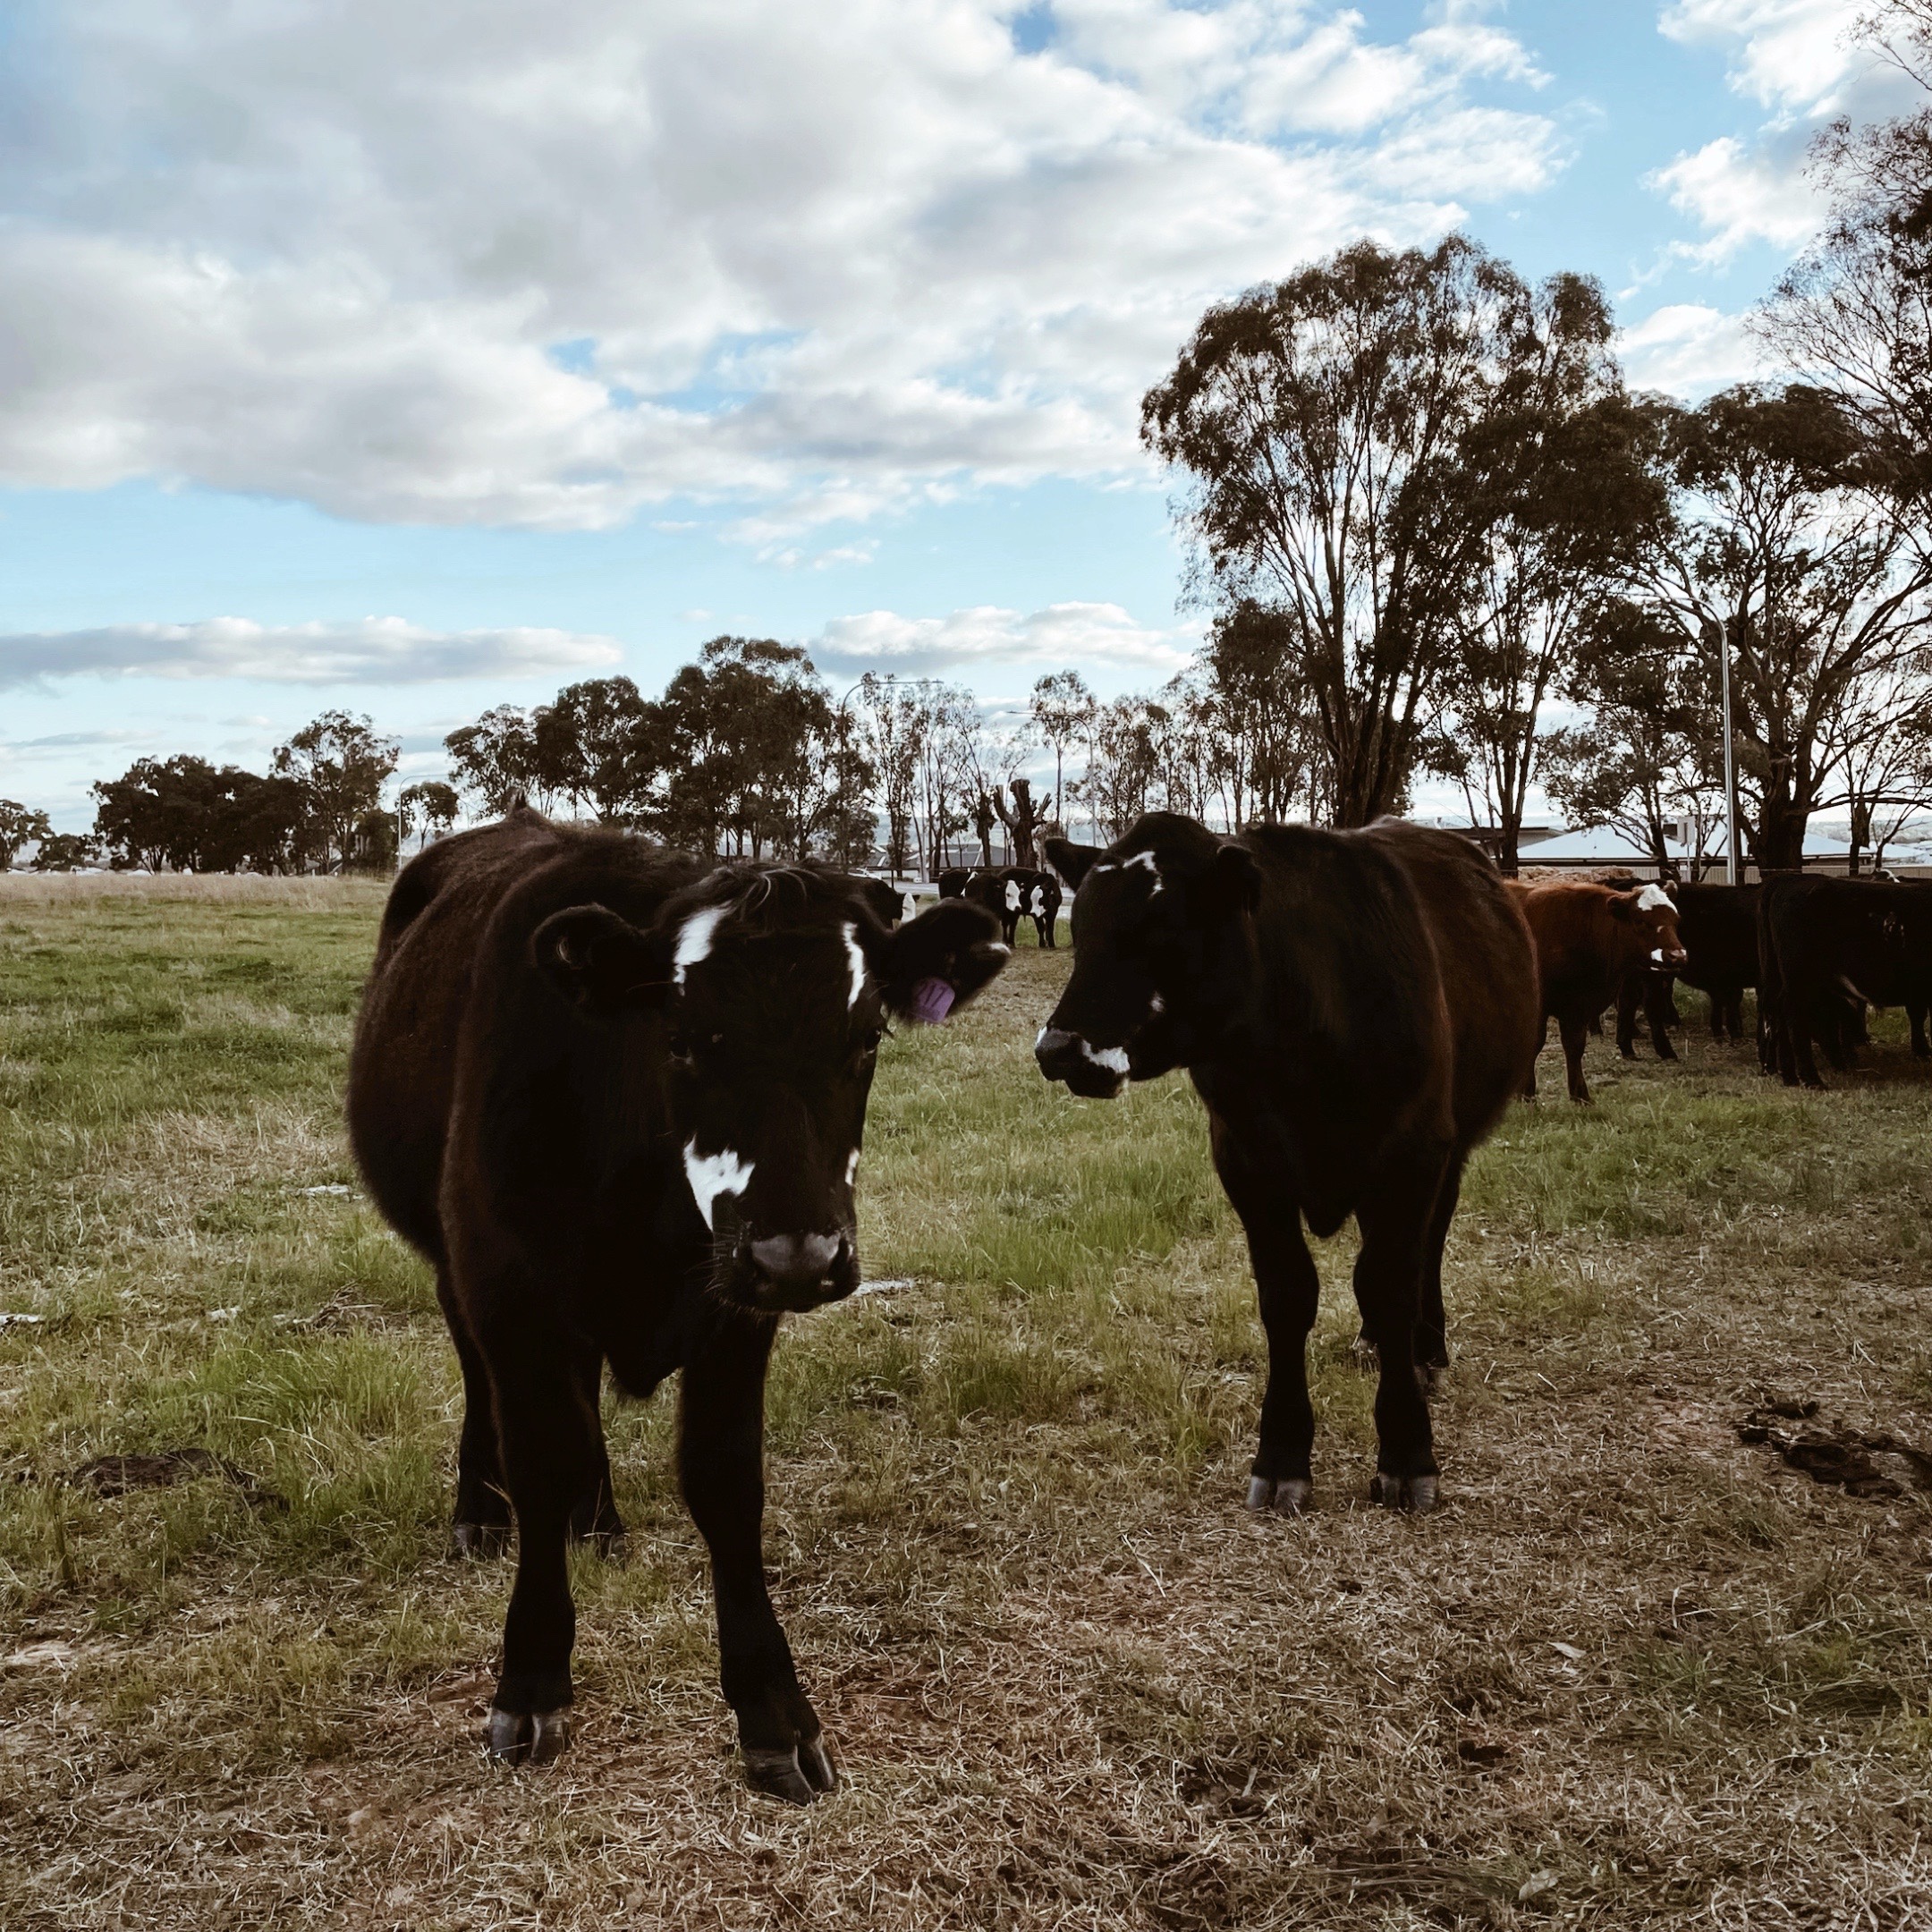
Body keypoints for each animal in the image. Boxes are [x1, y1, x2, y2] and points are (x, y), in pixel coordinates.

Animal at [345, 811, 1009, 1797]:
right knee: (480, 1375)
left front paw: (773, 1710)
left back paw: (598, 1520)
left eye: (865, 1041)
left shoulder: (736, 1308)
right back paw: (482, 1509)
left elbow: (724, 1480)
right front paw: (531, 1680)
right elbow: (538, 1456)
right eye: (686, 1040)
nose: (799, 1257)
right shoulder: (507, 1285)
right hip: (457, 1267)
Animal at [1035, 813, 1539, 1516]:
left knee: (1428, 1247)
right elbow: (1288, 1295)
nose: (1058, 1049)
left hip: (1452, 1146)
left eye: (1162, 927)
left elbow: (1391, 1284)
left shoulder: (1413, 1154)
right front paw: (1281, 1456)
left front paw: (1408, 1454)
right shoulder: (1247, 1163)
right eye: (1079, 929)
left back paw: (1426, 1347)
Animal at [1507, 879, 1686, 1102]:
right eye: (1640, 921)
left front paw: (1580, 1096)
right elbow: (1535, 1044)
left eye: (1676, 919)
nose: (1678, 956)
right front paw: (1526, 1093)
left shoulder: (1578, 1006)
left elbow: (1575, 1046)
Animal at [1757, 874, 1932, 1087]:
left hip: (1778, 977)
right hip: (1800, 980)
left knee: (1777, 1016)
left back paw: (1788, 1076)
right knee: (1794, 1015)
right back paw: (1812, 1079)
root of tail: (1790, 879)